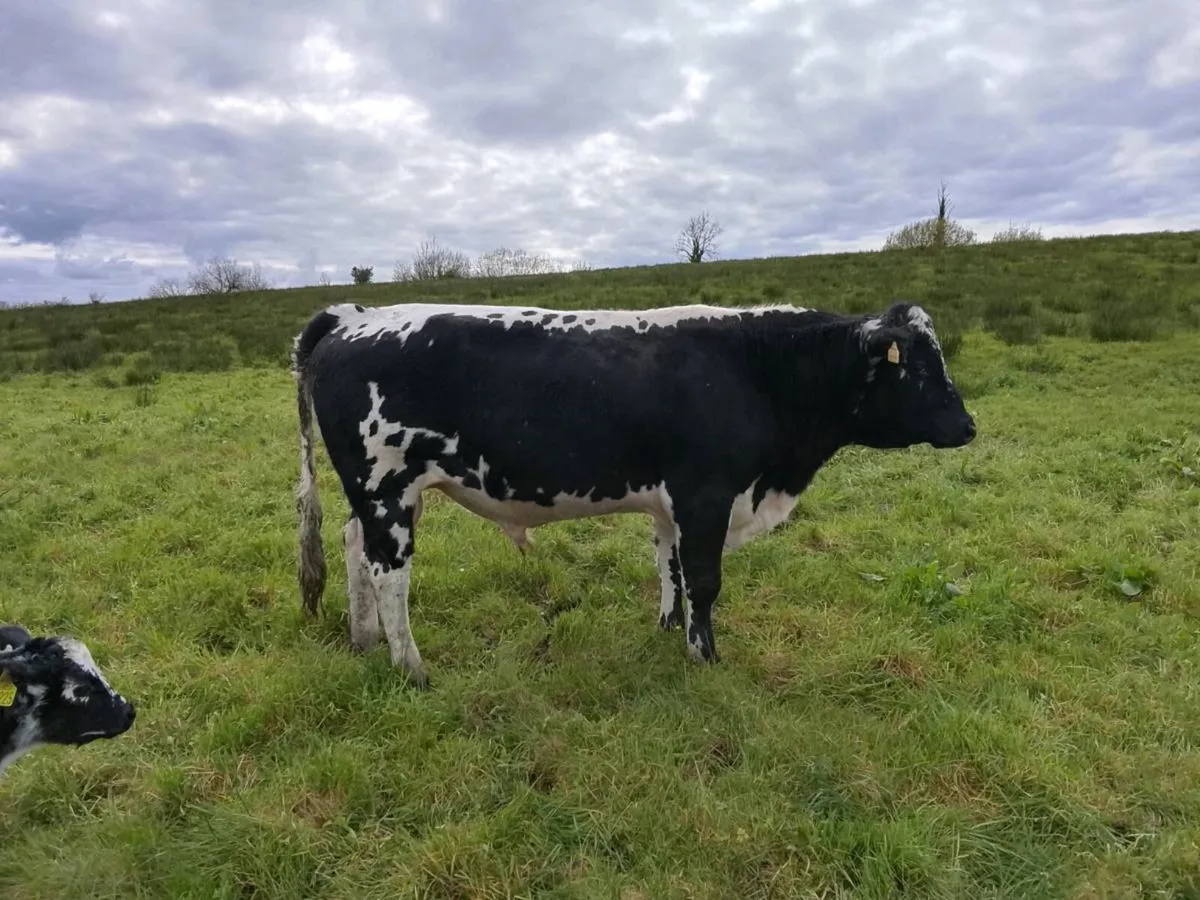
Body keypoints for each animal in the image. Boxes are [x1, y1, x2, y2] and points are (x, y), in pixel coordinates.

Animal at [291, 299, 975, 687]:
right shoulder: (707, 495)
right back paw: (410, 667)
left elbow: (668, 566)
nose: (968, 426)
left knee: (353, 547)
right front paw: (705, 657)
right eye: (917, 366)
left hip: (373, 493)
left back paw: (364, 641)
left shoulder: (672, 501)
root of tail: (356, 317)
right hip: (388, 485)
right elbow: (705, 579)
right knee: (389, 572)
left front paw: (670, 630)